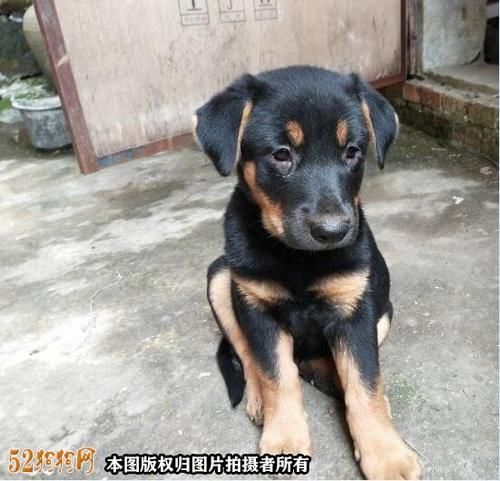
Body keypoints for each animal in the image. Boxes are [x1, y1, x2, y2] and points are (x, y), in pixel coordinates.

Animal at [193, 66, 421, 480]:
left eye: (352, 152)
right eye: (281, 154)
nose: (333, 231)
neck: (300, 259)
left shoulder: (356, 311)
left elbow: (365, 382)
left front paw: (386, 455)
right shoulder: (257, 308)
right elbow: (275, 375)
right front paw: (284, 440)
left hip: (384, 309)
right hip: (220, 277)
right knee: (249, 354)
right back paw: (260, 399)